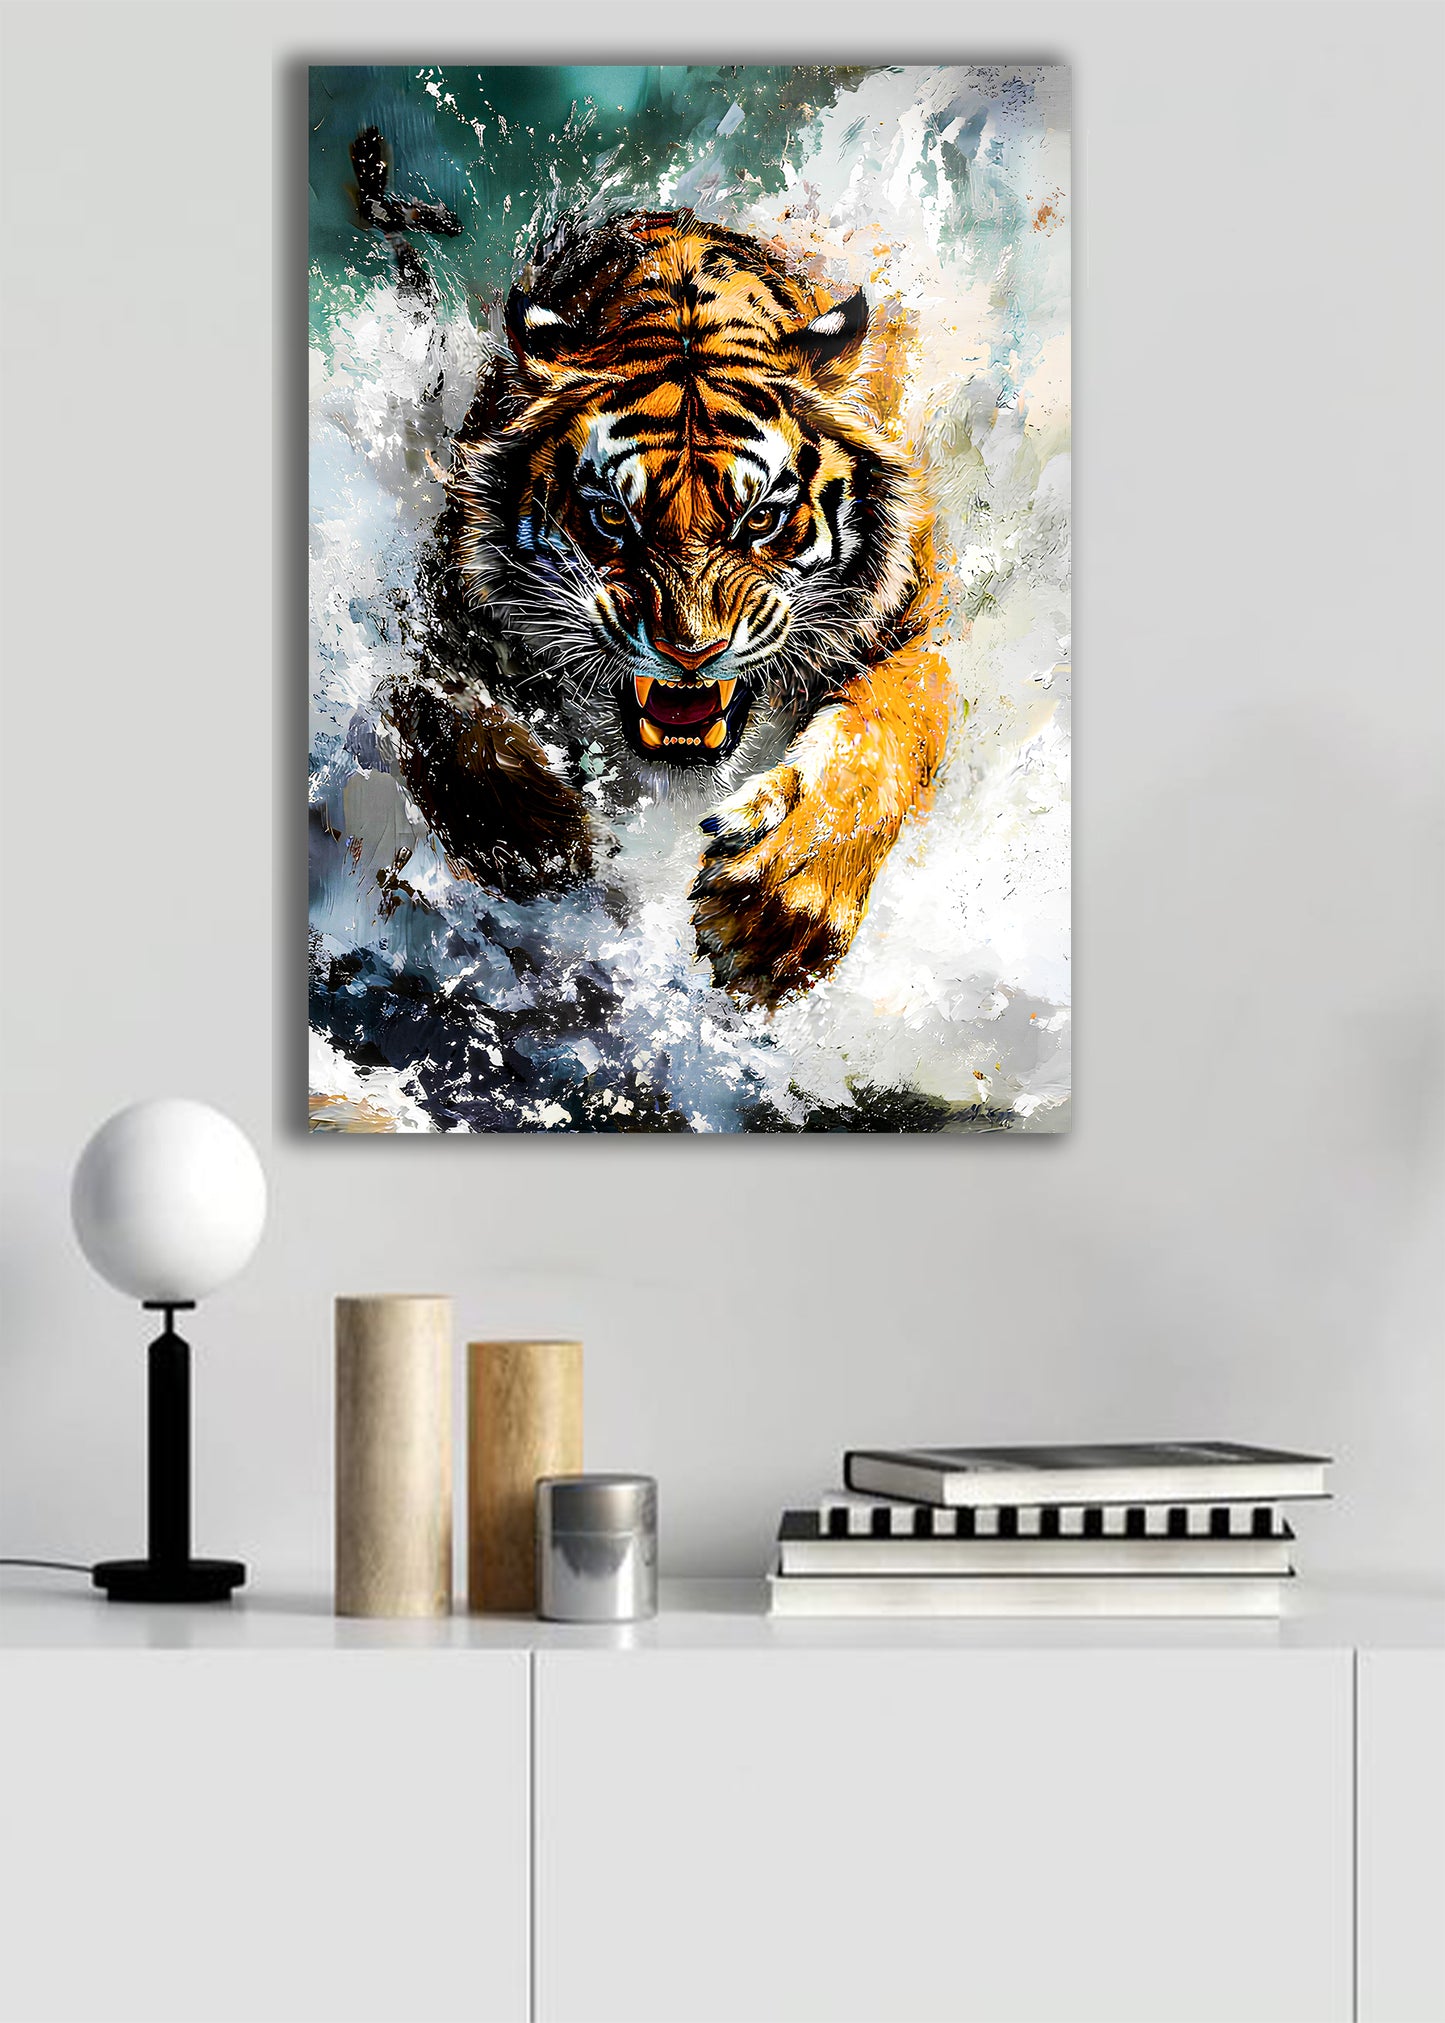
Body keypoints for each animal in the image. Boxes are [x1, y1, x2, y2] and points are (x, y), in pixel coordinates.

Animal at [376, 144, 952, 1005]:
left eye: (761, 519)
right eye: (614, 518)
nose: (689, 652)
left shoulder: (914, 621)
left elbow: (892, 728)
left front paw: (776, 909)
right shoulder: (440, 605)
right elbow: (434, 708)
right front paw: (534, 836)